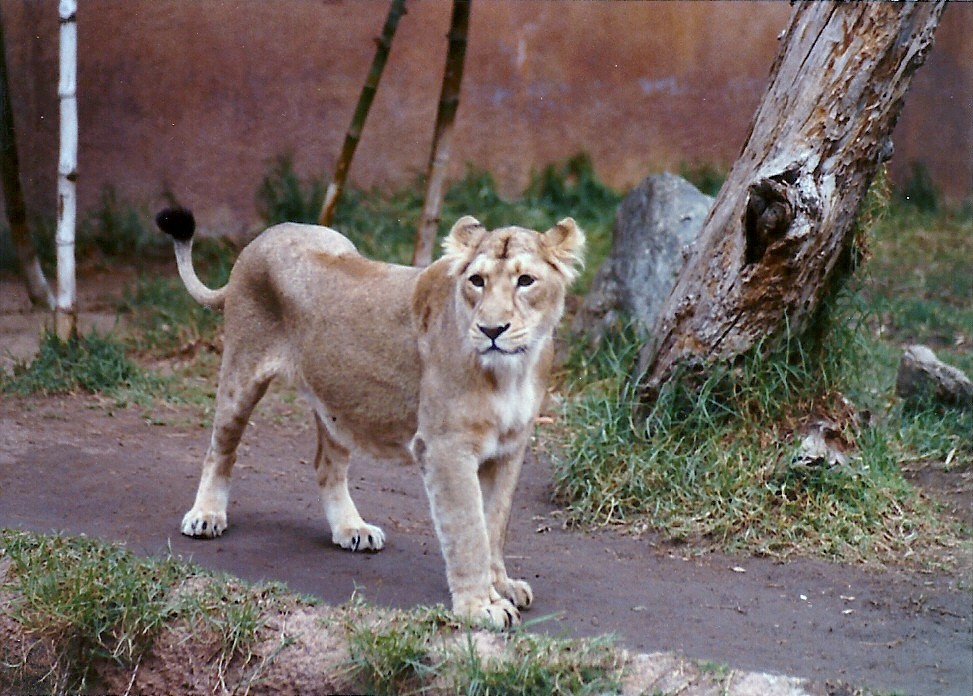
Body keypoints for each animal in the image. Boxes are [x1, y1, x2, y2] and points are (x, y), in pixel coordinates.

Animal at [155, 207, 584, 629]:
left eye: (526, 281)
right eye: (477, 281)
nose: (491, 329)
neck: (514, 371)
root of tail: (264, 236)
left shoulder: (510, 448)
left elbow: (494, 523)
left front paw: (501, 586)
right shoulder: (445, 446)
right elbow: (468, 530)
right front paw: (480, 606)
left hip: (337, 402)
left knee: (325, 465)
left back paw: (352, 529)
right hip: (241, 374)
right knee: (220, 449)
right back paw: (206, 516)